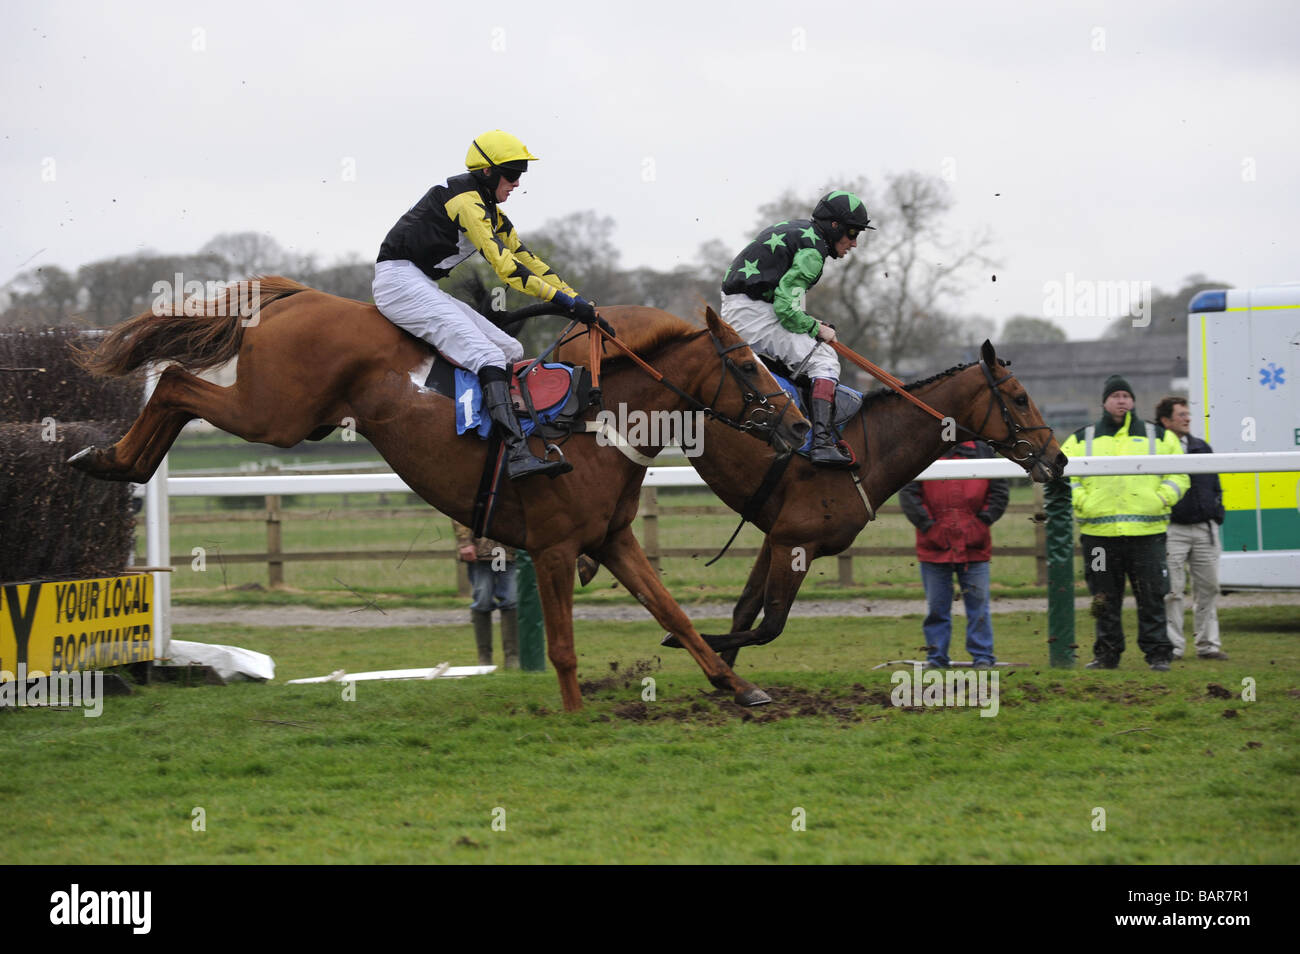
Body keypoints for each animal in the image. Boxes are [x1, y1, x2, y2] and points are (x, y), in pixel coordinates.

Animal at [71, 280, 806, 712]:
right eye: (749, 365)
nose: (799, 425)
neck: (594, 423)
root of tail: (299, 294)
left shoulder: (613, 539)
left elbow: (675, 614)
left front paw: (740, 687)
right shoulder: (554, 547)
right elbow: (564, 645)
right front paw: (573, 713)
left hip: (293, 415)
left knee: (175, 383)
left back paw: (112, 459)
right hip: (273, 413)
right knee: (173, 379)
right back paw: (108, 457)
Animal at [559, 317, 1066, 670]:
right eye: (1020, 398)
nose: (1058, 458)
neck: (867, 449)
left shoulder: (776, 535)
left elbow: (747, 612)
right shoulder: (796, 542)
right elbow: (770, 626)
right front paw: (689, 644)